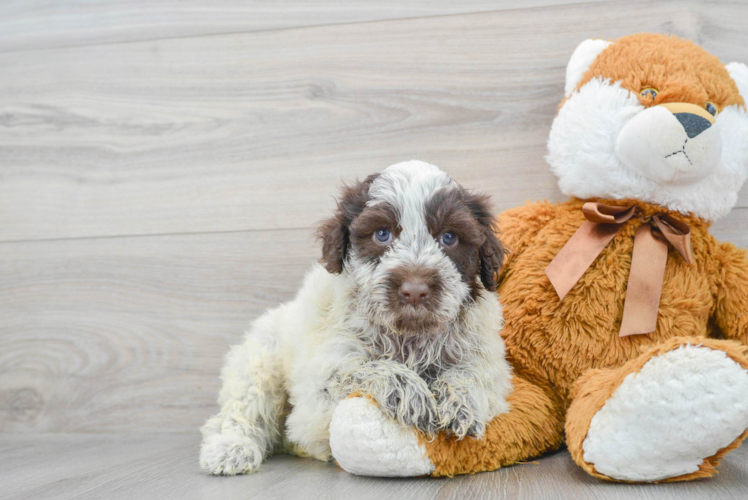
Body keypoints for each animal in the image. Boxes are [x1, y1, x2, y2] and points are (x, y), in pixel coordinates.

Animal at [199, 161, 516, 476]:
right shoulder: (319, 384)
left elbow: (470, 373)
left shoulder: (483, 354)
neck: (410, 337)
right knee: (241, 409)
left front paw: (461, 404)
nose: (415, 290)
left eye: (449, 237)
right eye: (382, 234)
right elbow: (367, 367)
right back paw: (231, 447)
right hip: (261, 360)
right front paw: (414, 395)